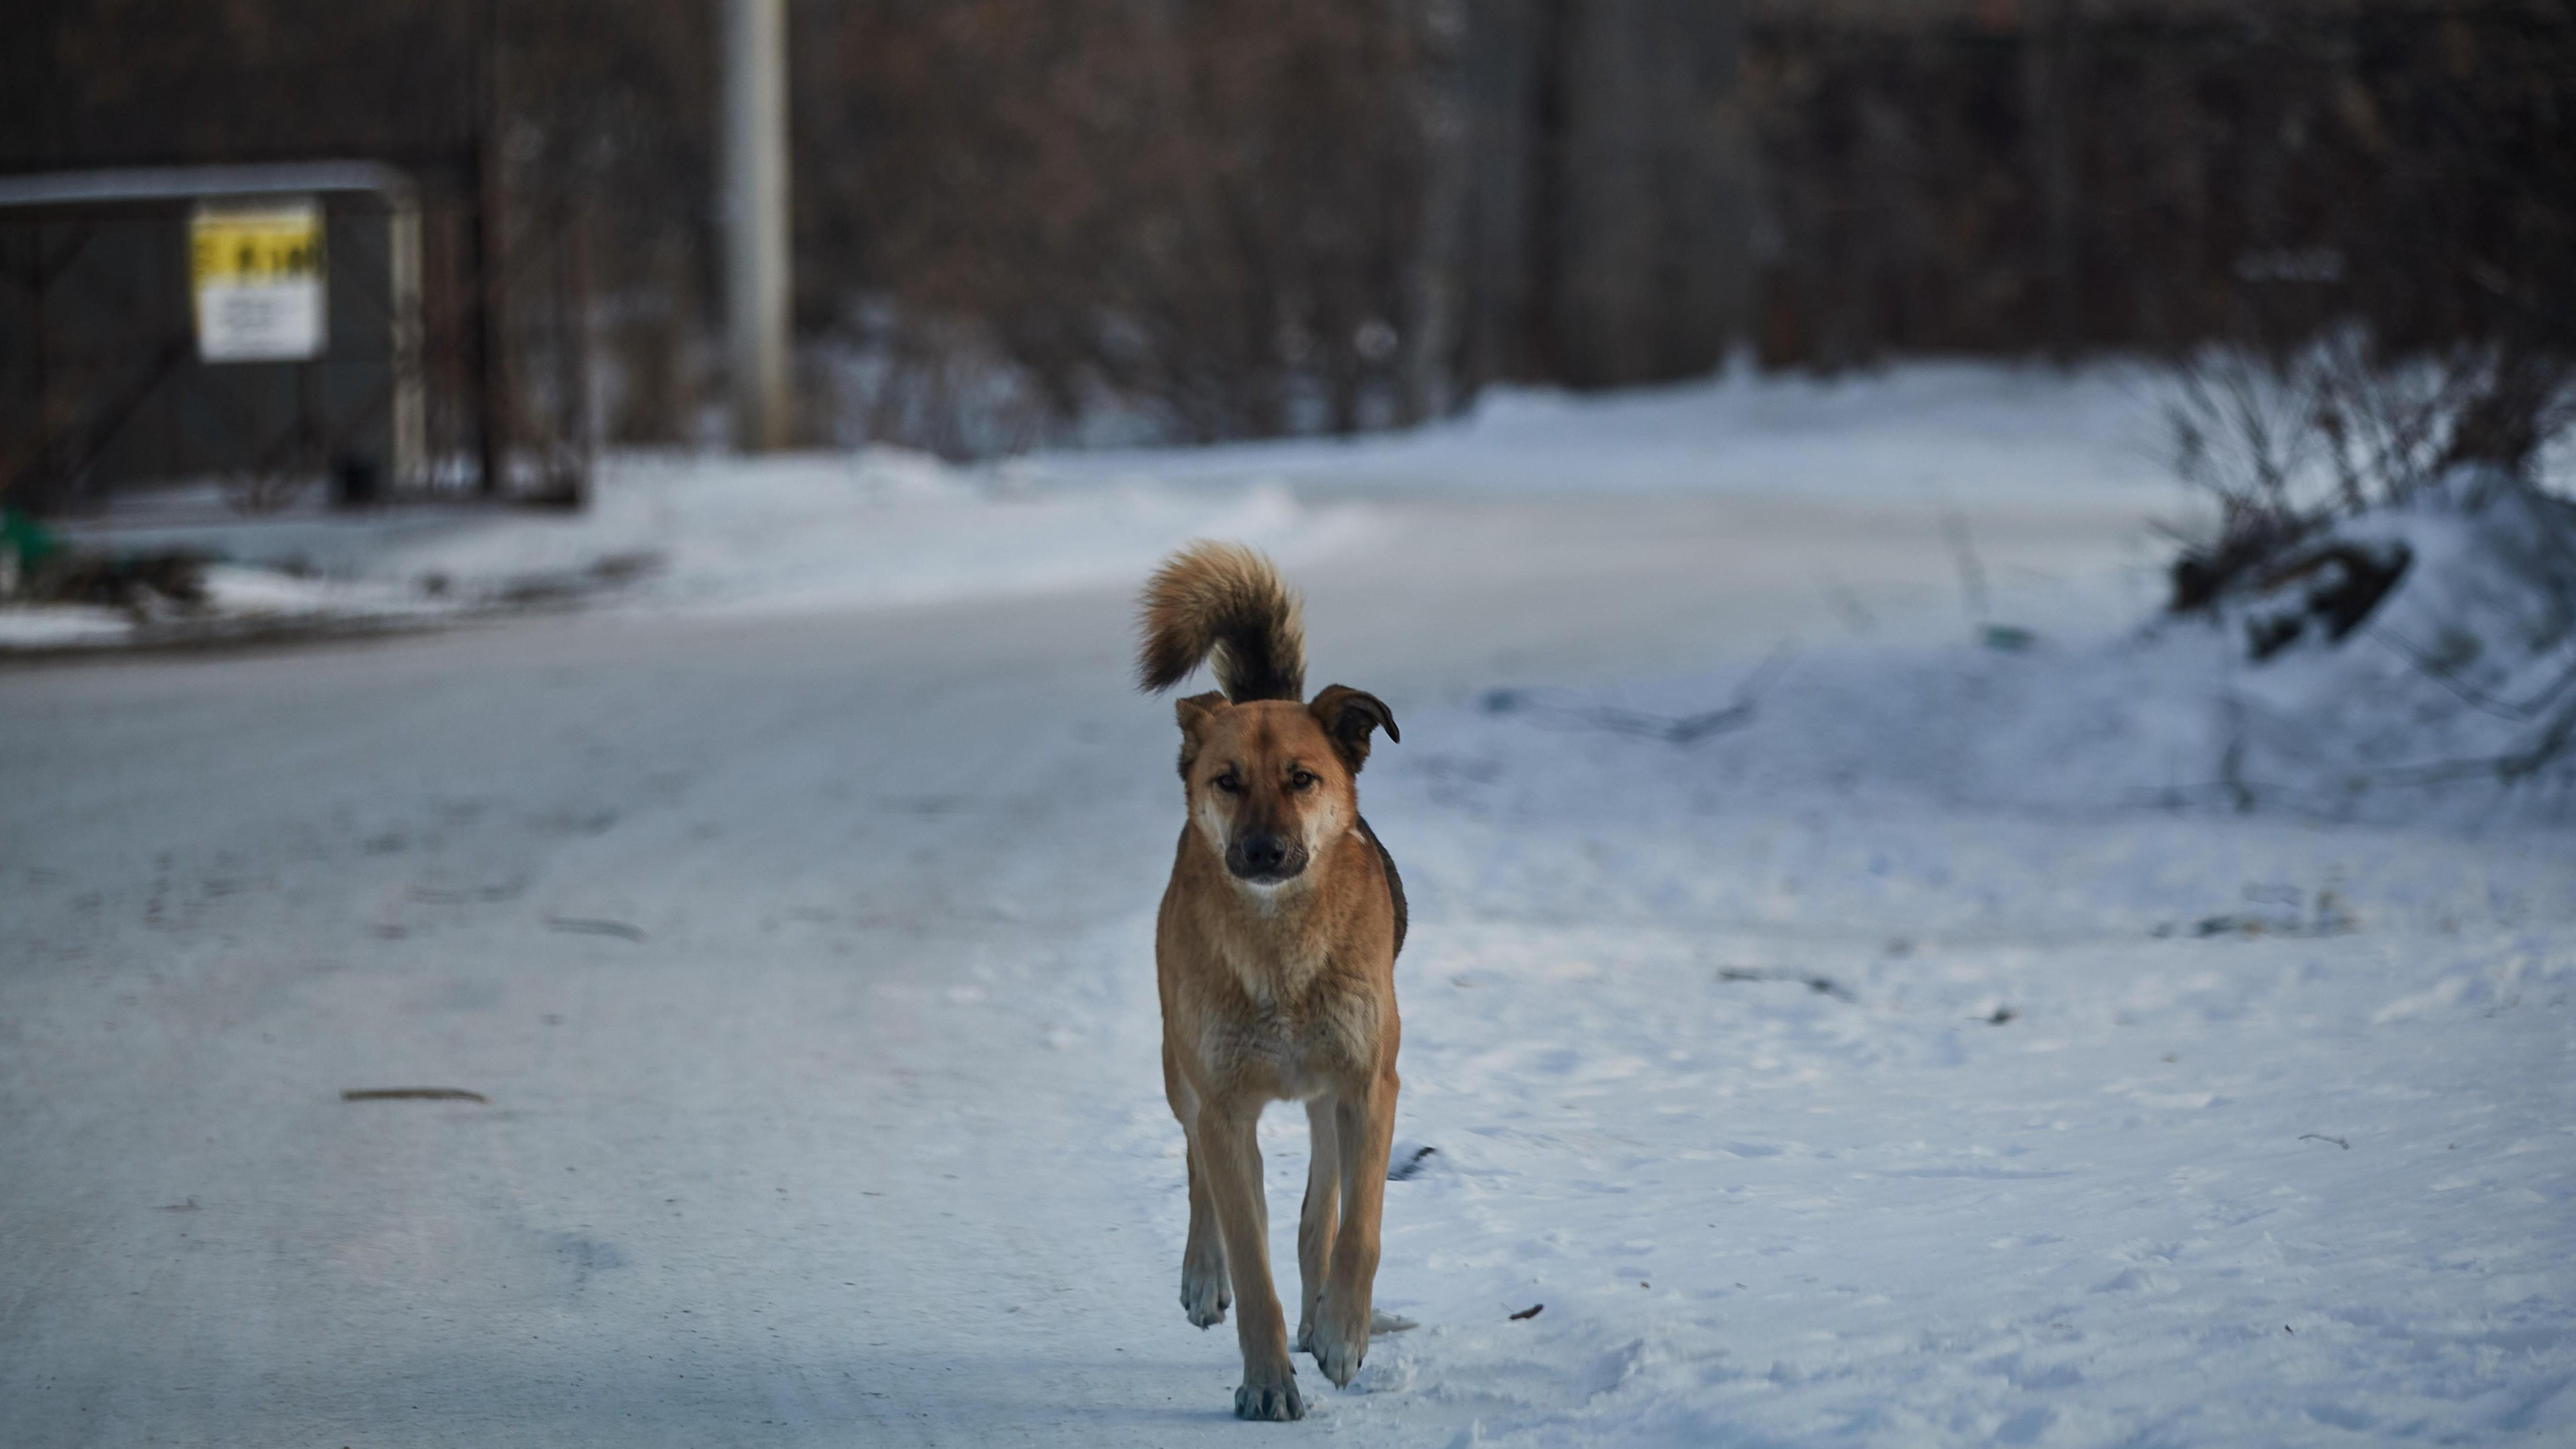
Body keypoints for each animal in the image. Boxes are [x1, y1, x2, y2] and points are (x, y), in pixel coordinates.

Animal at [1138, 539, 1401, 1413]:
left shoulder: (1367, 1085)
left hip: (1325, 1099)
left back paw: (1320, 1316)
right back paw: (1203, 1276)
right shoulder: (1223, 1105)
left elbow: (1358, 1226)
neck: (1281, 950)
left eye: (1302, 778)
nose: (1261, 851)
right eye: (1227, 781)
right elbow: (1251, 1262)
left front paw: (1342, 1333)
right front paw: (1265, 1382)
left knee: (1319, 1207)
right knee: (1202, 1170)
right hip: (1182, 1070)